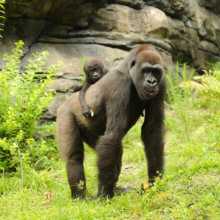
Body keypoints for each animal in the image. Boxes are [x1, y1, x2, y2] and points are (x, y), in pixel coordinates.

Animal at [55, 43, 166, 199]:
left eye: (155, 72)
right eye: (146, 70)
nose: (151, 81)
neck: (129, 73)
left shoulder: (162, 84)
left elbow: (152, 130)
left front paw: (154, 182)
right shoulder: (118, 86)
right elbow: (112, 136)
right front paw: (104, 194)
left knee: (115, 150)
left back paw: (115, 189)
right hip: (65, 113)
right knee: (74, 156)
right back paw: (80, 197)